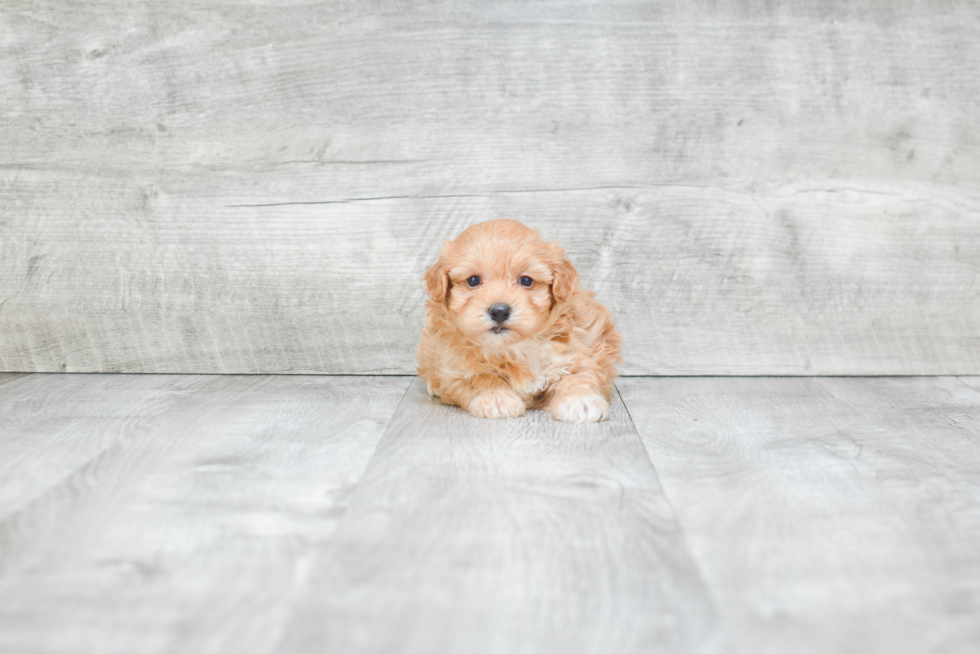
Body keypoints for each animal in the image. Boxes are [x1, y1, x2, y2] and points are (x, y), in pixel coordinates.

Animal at [416, 220, 620, 426]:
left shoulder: (583, 347)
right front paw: (496, 398)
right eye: (473, 280)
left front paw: (581, 400)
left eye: (526, 281)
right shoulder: (455, 367)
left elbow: (579, 375)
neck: (515, 347)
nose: (499, 311)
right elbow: (481, 378)